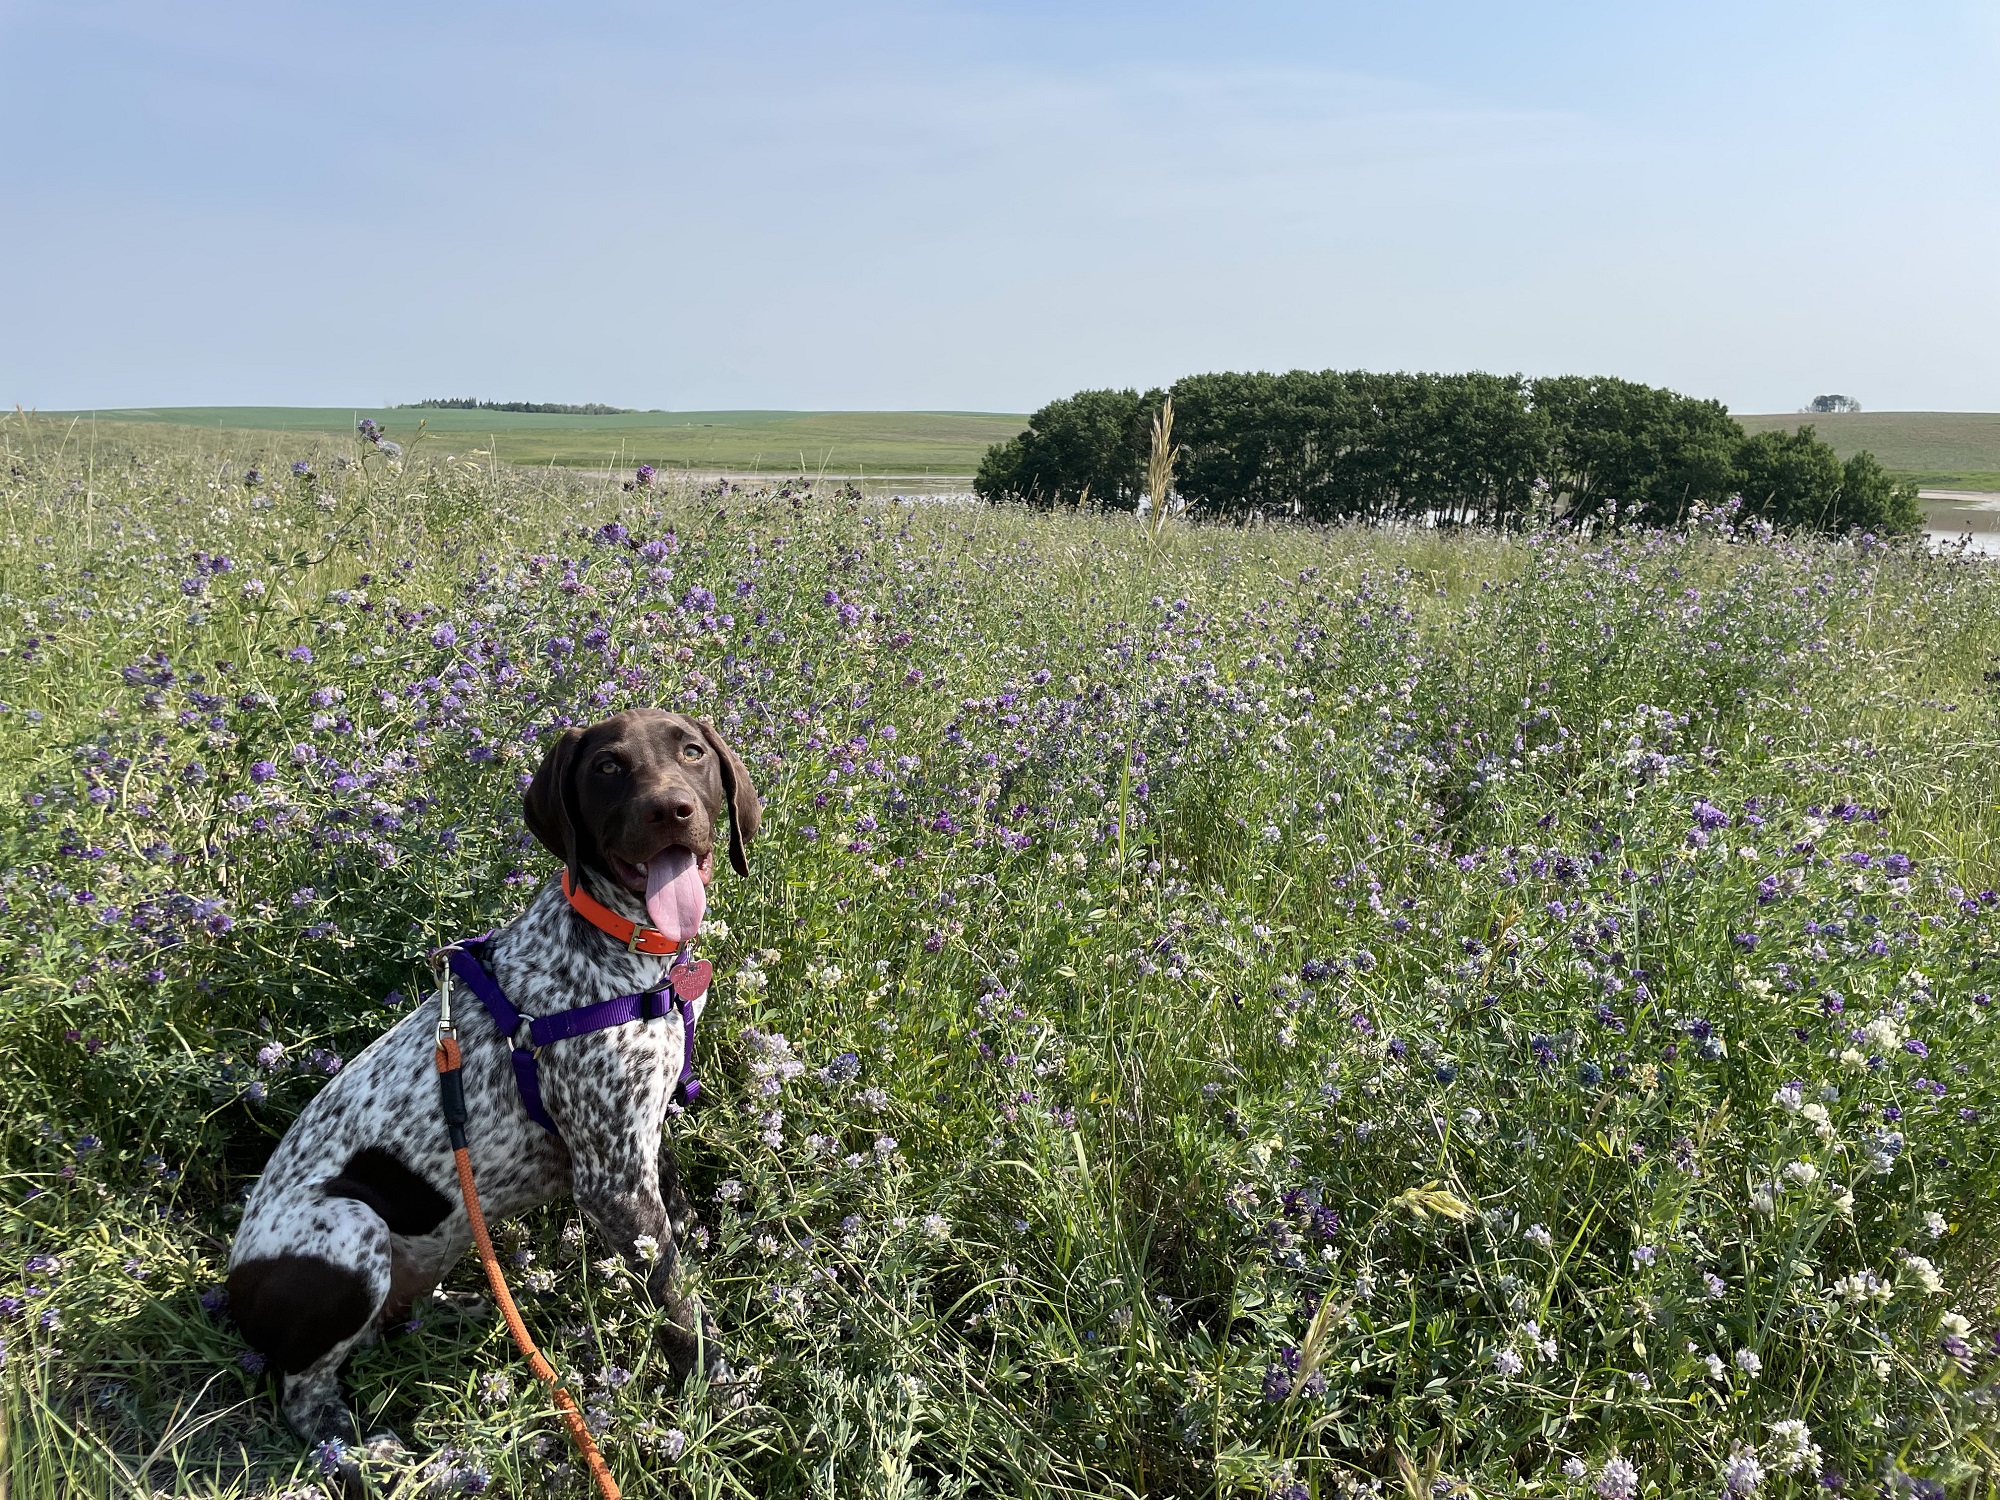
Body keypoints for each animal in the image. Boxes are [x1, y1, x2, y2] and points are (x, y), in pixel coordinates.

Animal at [229, 712, 756, 1448]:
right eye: (608, 768)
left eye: (692, 752)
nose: (670, 810)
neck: (617, 948)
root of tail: (232, 1297)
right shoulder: (613, 1183)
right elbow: (677, 1306)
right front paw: (717, 1393)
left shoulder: (644, 1140)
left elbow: (678, 1241)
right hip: (351, 1228)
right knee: (307, 1395)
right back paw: (366, 1451)